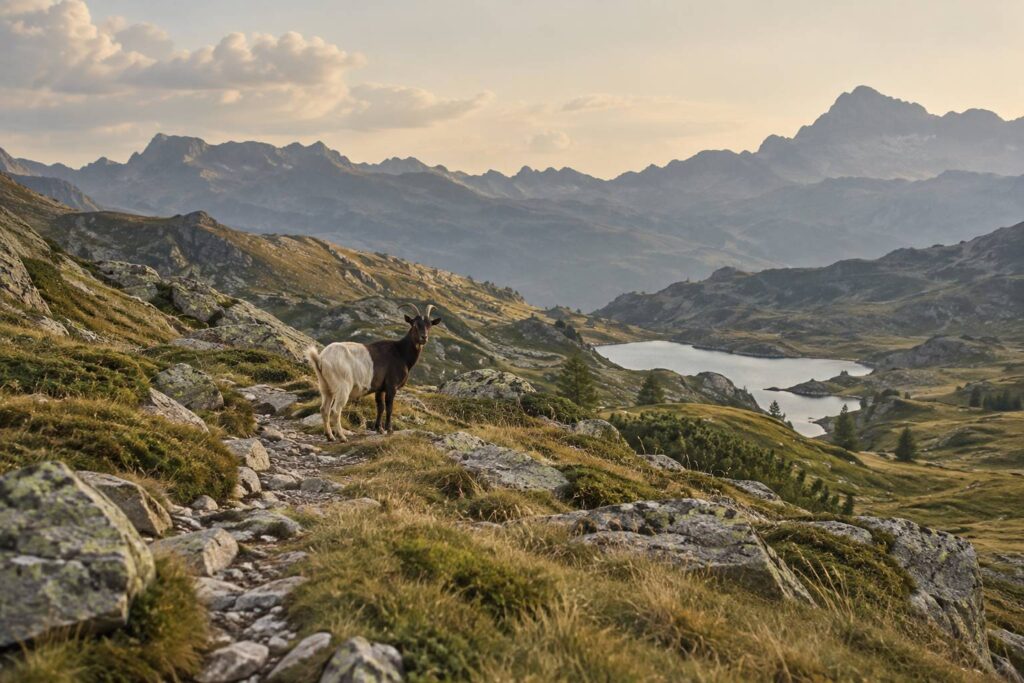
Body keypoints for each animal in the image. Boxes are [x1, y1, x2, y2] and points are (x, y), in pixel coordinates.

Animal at [305, 303, 442, 441]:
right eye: (414, 324)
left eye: (429, 325)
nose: (424, 337)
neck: (400, 352)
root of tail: (320, 359)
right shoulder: (391, 386)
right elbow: (389, 407)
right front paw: (389, 430)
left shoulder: (380, 388)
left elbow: (380, 407)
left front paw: (379, 429)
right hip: (342, 386)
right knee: (335, 410)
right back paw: (342, 436)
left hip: (325, 386)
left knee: (324, 409)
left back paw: (330, 436)